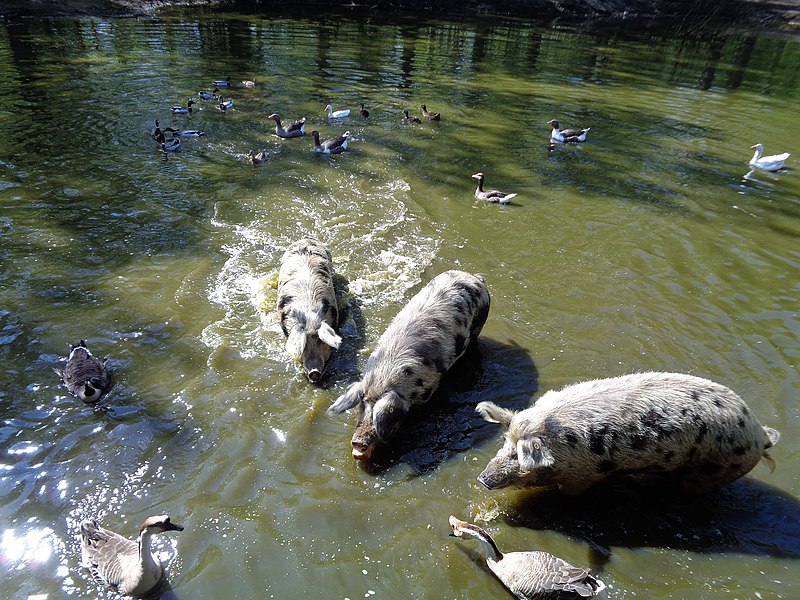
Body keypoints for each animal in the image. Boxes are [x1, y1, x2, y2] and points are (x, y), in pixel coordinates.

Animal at [327, 270, 490, 460]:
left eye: (380, 416)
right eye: (362, 406)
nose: (358, 442)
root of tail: (474, 277)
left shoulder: (430, 386)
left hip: (480, 323)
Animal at [477, 372, 780, 495]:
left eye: (518, 457)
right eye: (504, 442)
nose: (482, 479)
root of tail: (761, 435)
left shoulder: (582, 477)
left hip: (714, 471)